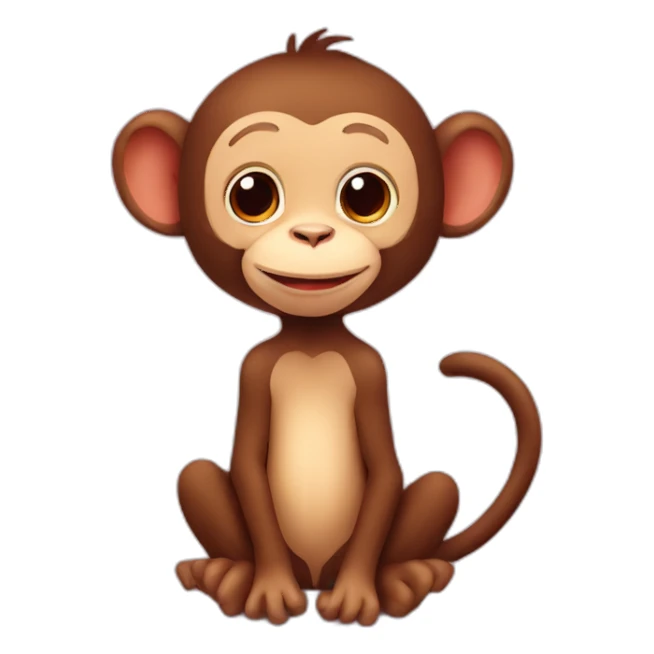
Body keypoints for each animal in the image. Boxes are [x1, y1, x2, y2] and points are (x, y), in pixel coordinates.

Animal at [112, 29, 541, 627]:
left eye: (366, 196)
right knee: (195, 473)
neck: (313, 341)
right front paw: (267, 588)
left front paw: (360, 594)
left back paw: (404, 578)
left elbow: (385, 469)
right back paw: (228, 574)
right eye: (251, 195)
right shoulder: (254, 371)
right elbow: (246, 464)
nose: (313, 234)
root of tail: (316, 579)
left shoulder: (369, 371)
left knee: (438, 487)